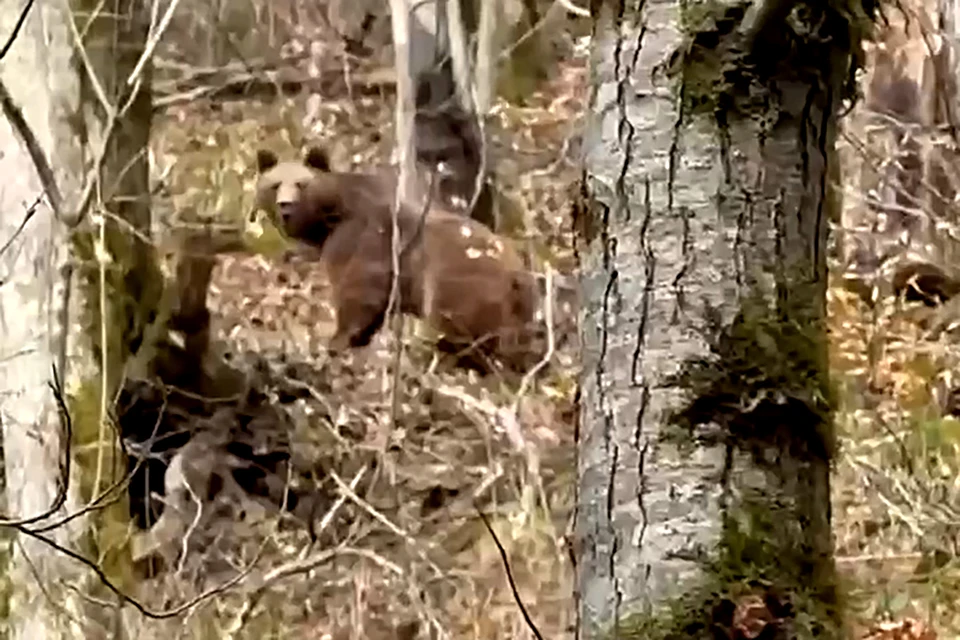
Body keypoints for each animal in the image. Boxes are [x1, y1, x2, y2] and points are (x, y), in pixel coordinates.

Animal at [251, 148, 544, 372]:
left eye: (301, 184)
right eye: (274, 184)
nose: (285, 206)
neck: (331, 217)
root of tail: (516, 275)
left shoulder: (366, 240)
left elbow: (358, 293)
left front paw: (338, 340)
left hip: (460, 285)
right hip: (520, 311)